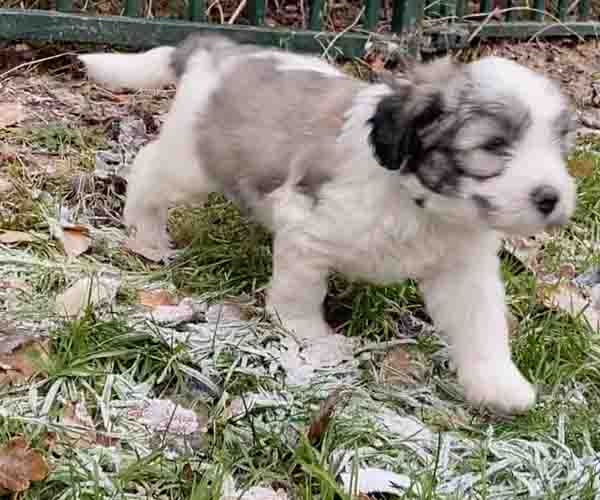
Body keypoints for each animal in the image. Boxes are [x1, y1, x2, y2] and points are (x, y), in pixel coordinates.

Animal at [79, 34, 577, 414]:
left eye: (559, 146)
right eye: (493, 146)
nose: (551, 197)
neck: (417, 202)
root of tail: (216, 49)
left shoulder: (464, 271)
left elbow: (482, 325)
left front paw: (498, 384)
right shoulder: (307, 226)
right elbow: (299, 293)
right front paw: (308, 335)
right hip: (193, 162)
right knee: (149, 169)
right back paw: (145, 233)